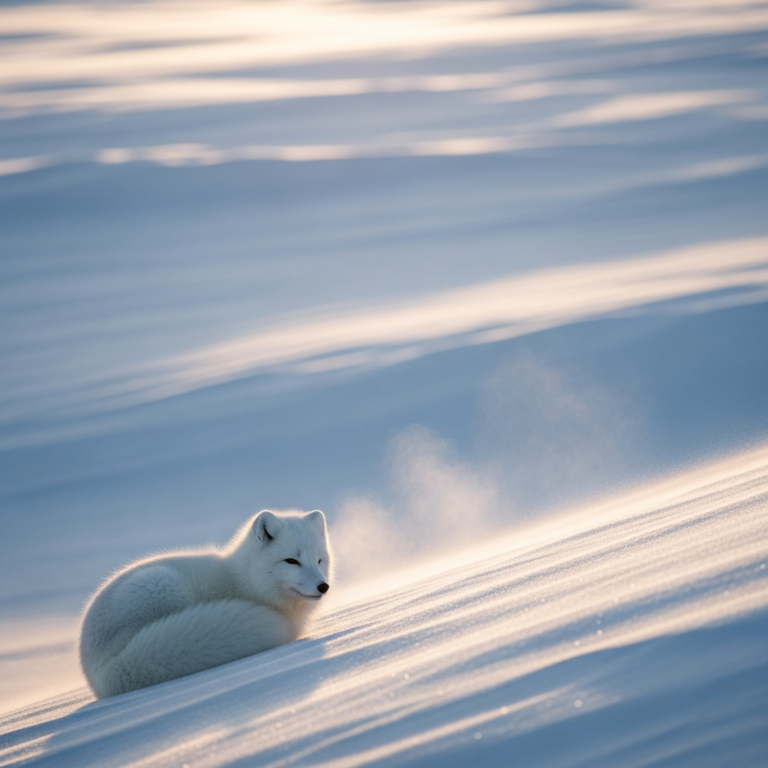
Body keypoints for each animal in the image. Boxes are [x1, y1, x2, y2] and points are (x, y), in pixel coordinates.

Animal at [79, 509, 331, 698]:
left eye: (319, 560)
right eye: (292, 561)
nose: (324, 587)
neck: (245, 582)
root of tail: (100, 673)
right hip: (161, 583)